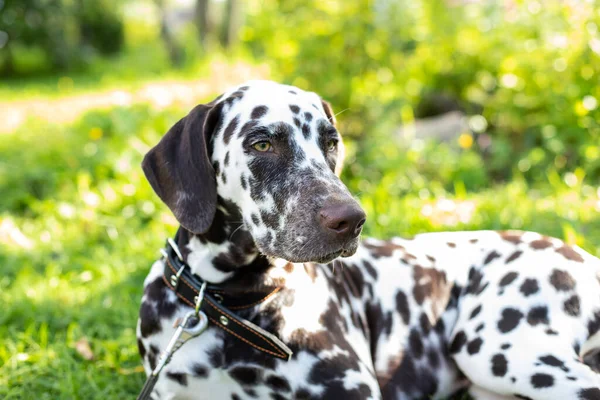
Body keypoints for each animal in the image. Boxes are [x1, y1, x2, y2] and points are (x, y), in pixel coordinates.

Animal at [138, 79, 600, 398]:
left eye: (331, 141)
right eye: (263, 143)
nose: (351, 219)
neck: (229, 300)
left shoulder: (352, 387)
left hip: (499, 349)